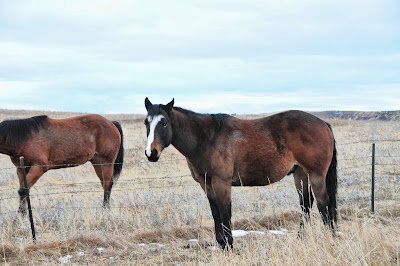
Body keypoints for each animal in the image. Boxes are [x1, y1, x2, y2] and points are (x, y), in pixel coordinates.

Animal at [144, 97, 338, 249]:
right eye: (147, 122)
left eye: (164, 122)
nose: (151, 153)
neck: (207, 138)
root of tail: (323, 123)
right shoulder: (206, 184)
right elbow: (215, 213)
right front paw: (221, 244)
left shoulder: (221, 182)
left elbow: (225, 213)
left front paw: (229, 245)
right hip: (300, 174)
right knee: (306, 204)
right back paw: (300, 238)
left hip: (316, 175)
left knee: (323, 203)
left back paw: (330, 237)